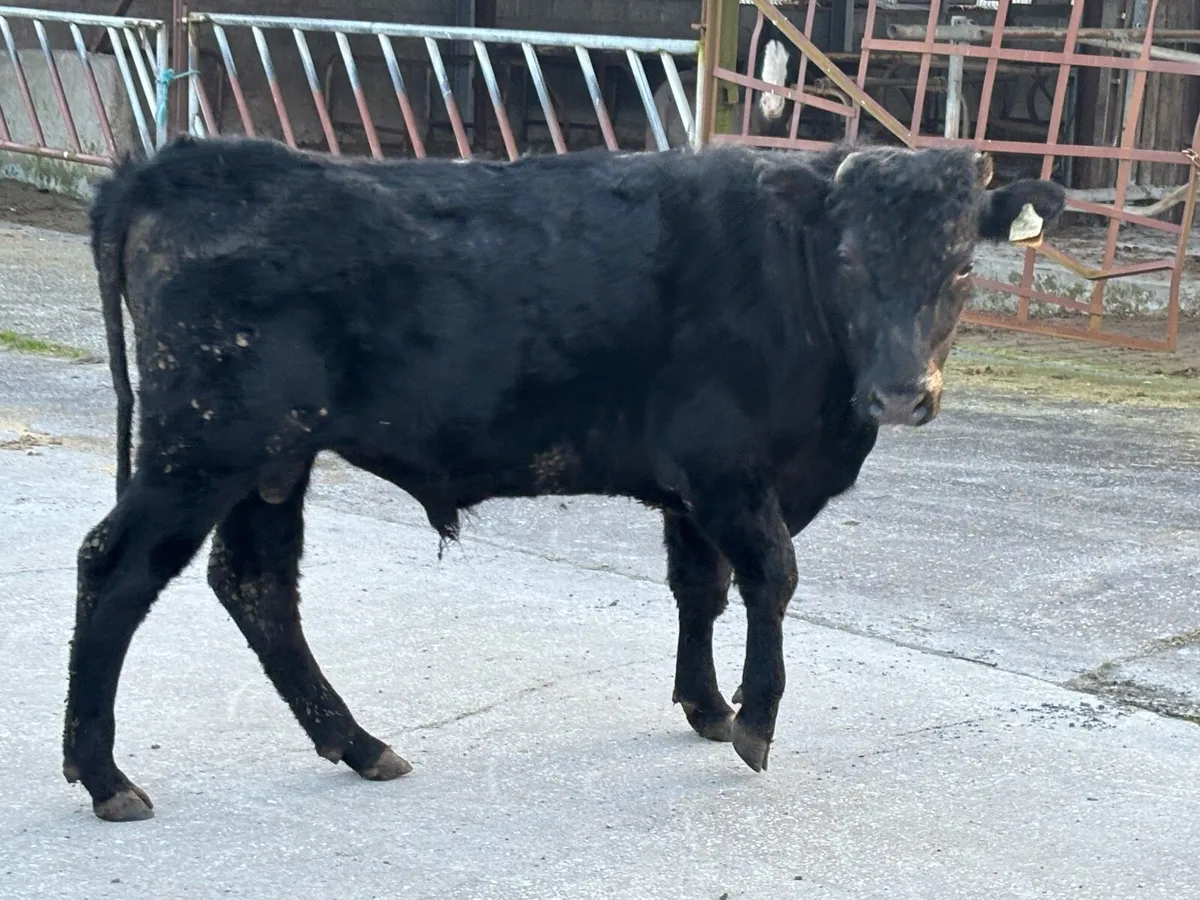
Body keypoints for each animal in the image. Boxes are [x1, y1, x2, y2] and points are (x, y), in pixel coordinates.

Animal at [63, 135, 1065, 821]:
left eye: (963, 266)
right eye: (851, 256)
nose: (901, 393)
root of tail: (185, 161)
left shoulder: (693, 491)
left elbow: (700, 587)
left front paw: (706, 705)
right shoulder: (728, 469)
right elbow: (771, 578)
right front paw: (755, 720)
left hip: (271, 461)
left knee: (256, 585)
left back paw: (356, 743)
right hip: (202, 449)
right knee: (118, 569)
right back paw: (104, 774)